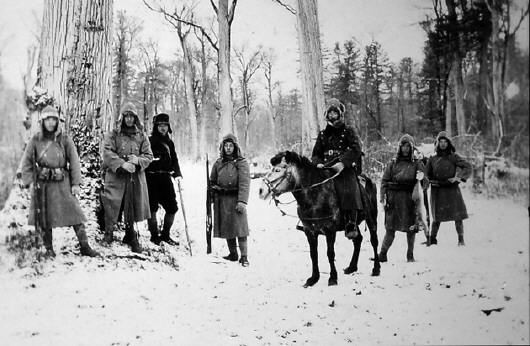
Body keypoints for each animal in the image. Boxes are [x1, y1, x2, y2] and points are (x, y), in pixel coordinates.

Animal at [256, 150, 378, 288]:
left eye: (277, 170)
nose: (261, 190)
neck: (316, 195)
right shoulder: (310, 231)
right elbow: (313, 254)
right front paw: (313, 278)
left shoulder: (330, 231)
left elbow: (330, 254)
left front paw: (333, 278)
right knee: (358, 240)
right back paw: (352, 267)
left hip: (372, 217)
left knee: (374, 240)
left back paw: (376, 269)